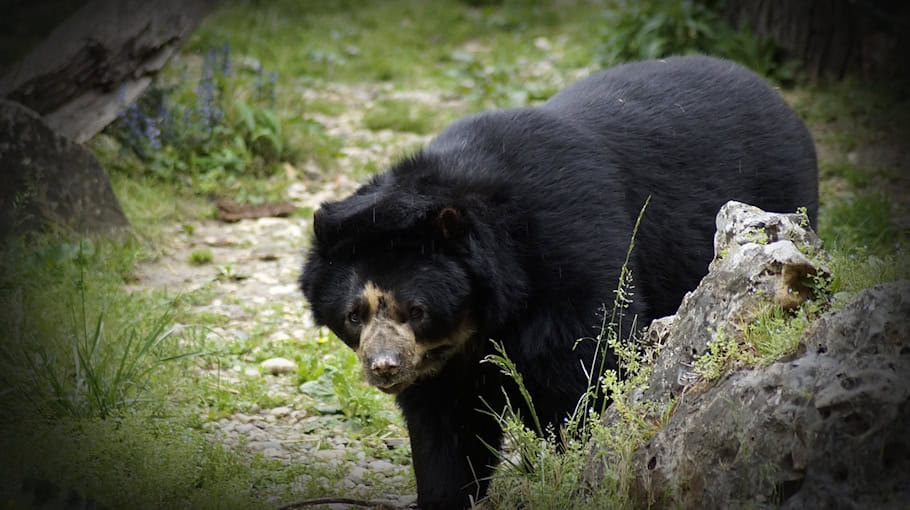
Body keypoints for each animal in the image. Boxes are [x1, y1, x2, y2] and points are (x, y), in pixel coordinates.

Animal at [300, 53, 820, 508]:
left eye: (417, 310)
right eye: (354, 314)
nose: (385, 366)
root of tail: (772, 94)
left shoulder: (572, 258)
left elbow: (587, 367)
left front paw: (577, 464)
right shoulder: (439, 363)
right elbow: (444, 426)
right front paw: (445, 494)